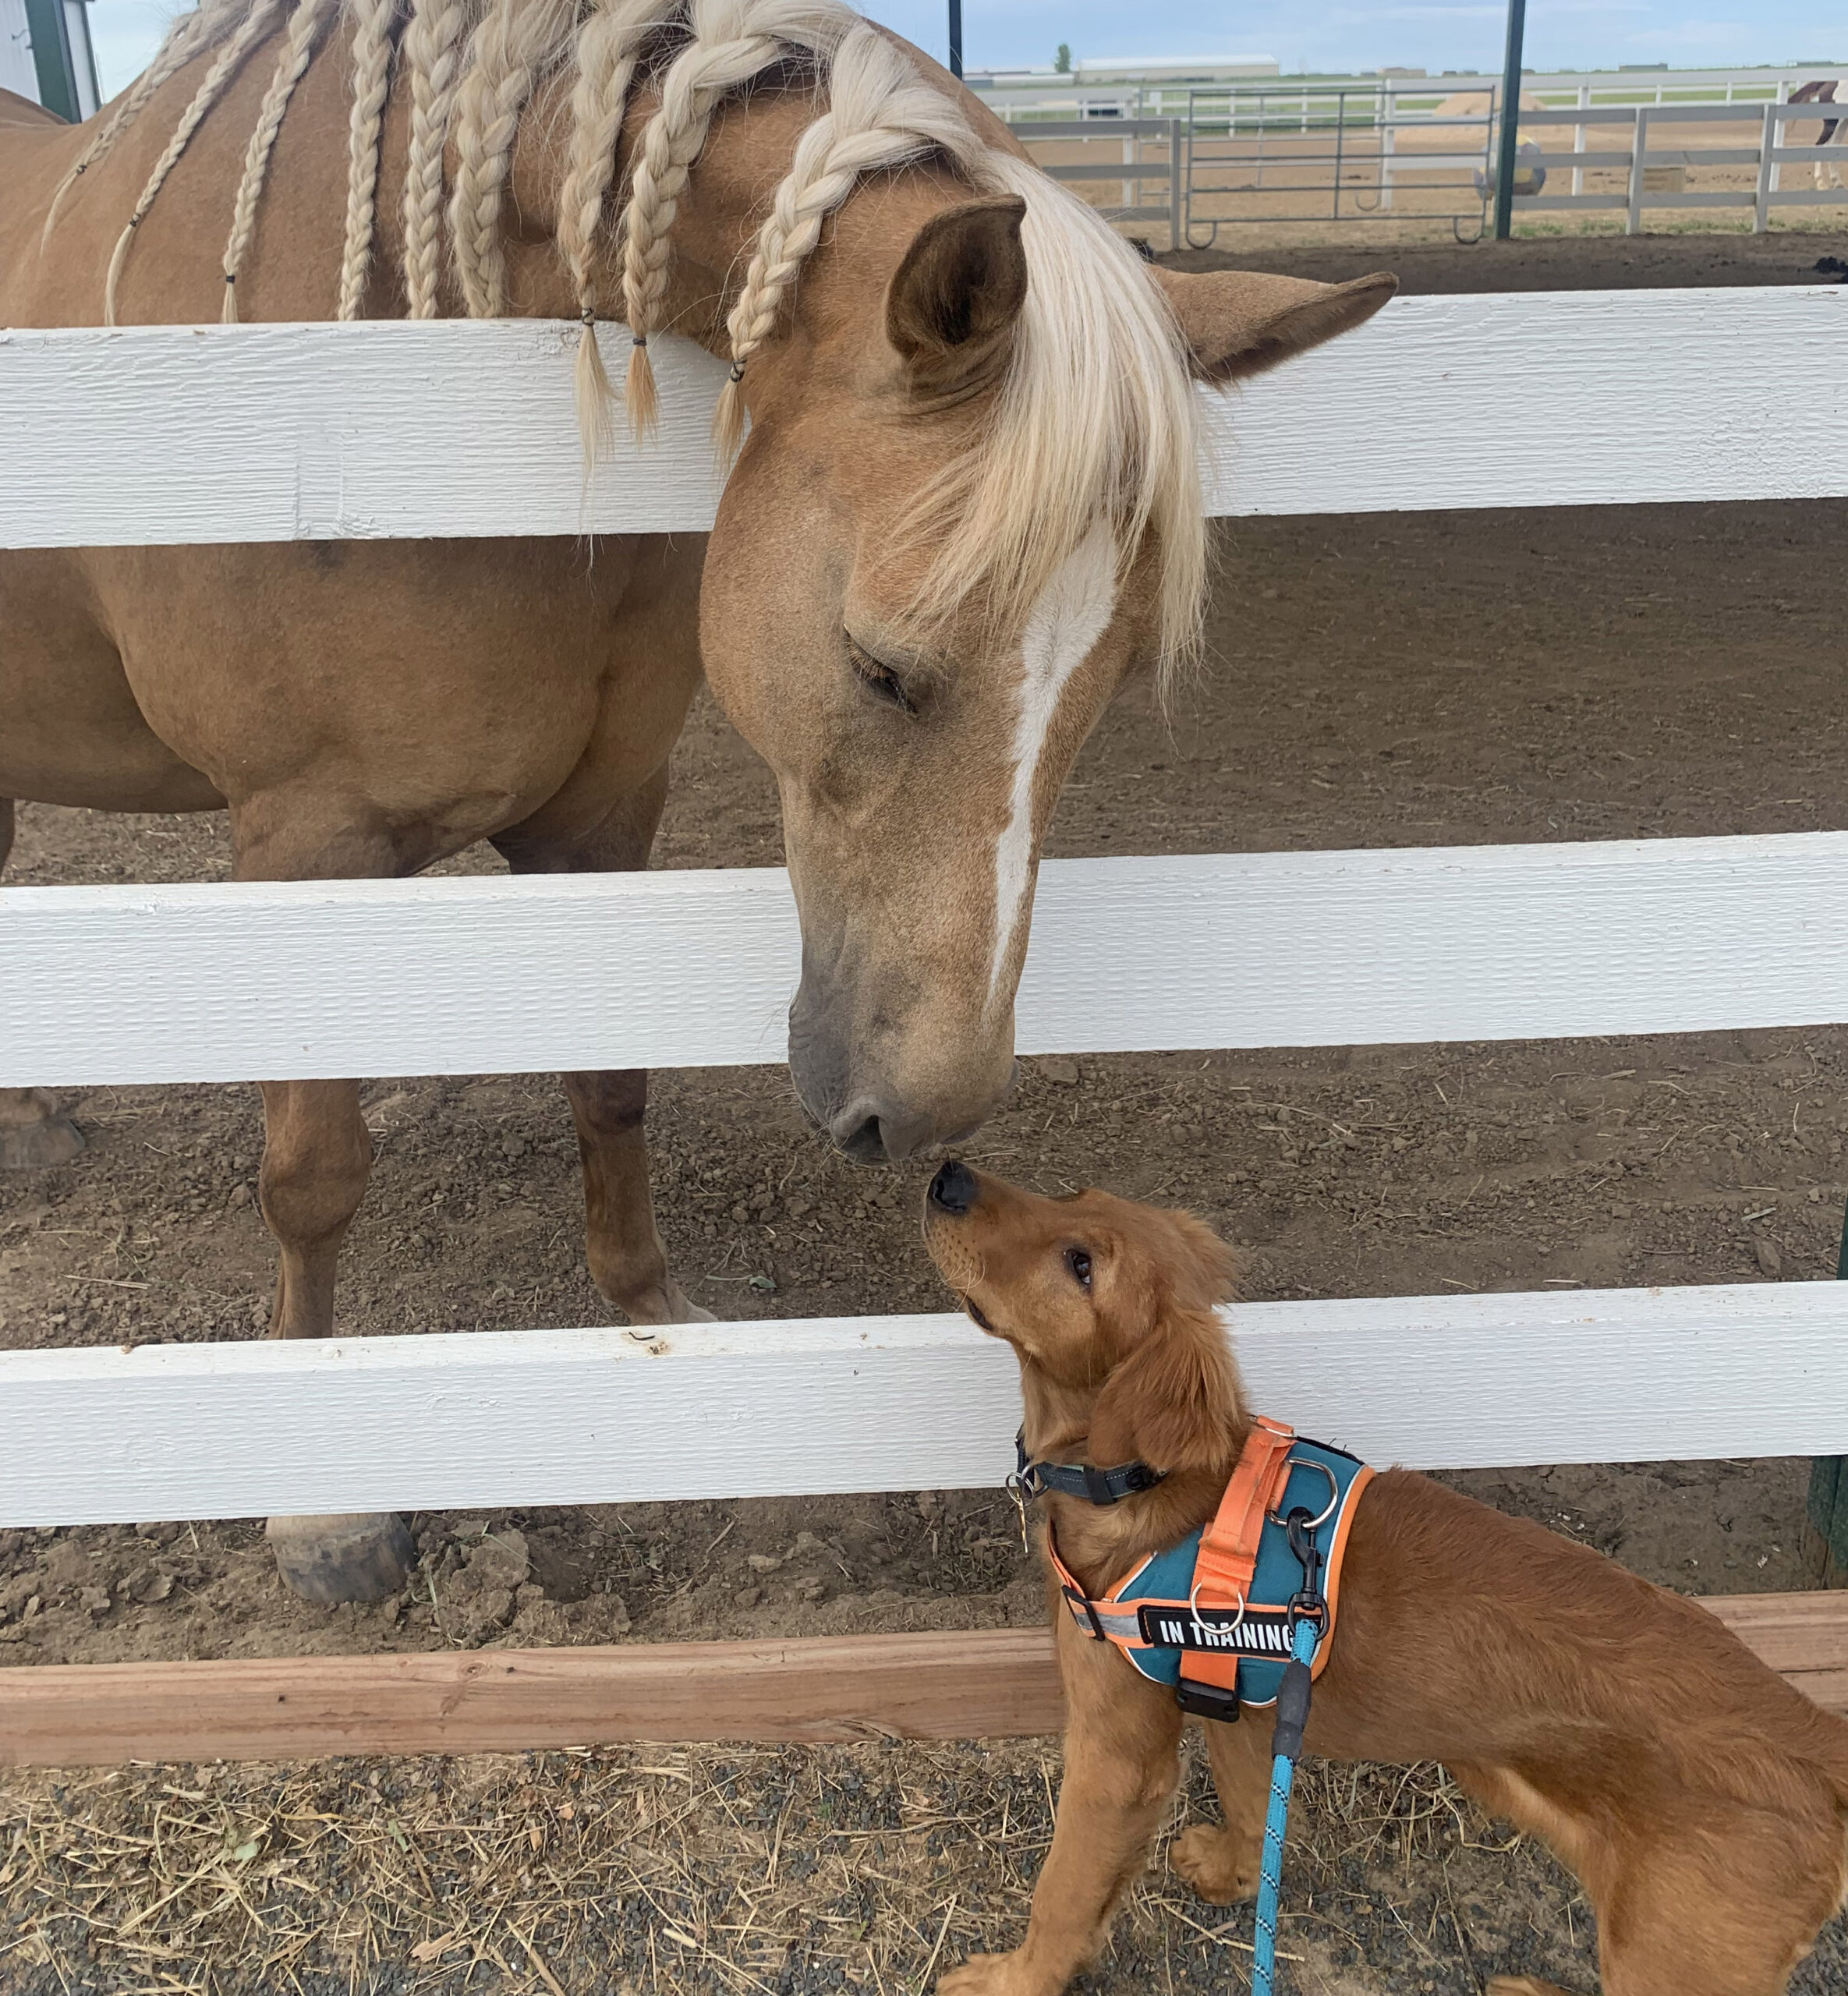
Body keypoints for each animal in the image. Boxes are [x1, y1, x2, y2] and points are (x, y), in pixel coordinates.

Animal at [0, 0, 1389, 1597]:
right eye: (882, 666)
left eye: (1107, 688)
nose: (925, 1116)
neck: (379, 358)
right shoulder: (304, 844)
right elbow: (314, 1172)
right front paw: (325, 1508)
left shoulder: (603, 812)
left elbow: (610, 1085)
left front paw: (654, 1325)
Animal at [922, 1166, 1848, 1996]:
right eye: (1073, 1193)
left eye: (1081, 1263)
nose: (945, 1177)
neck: (1155, 1488)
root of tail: (1816, 1744)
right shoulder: (1248, 1704)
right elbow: (1255, 1812)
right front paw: (1231, 1874)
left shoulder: (1116, 1757)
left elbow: (1063, 1893)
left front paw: (1013, 1979)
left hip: (1674, 1957)